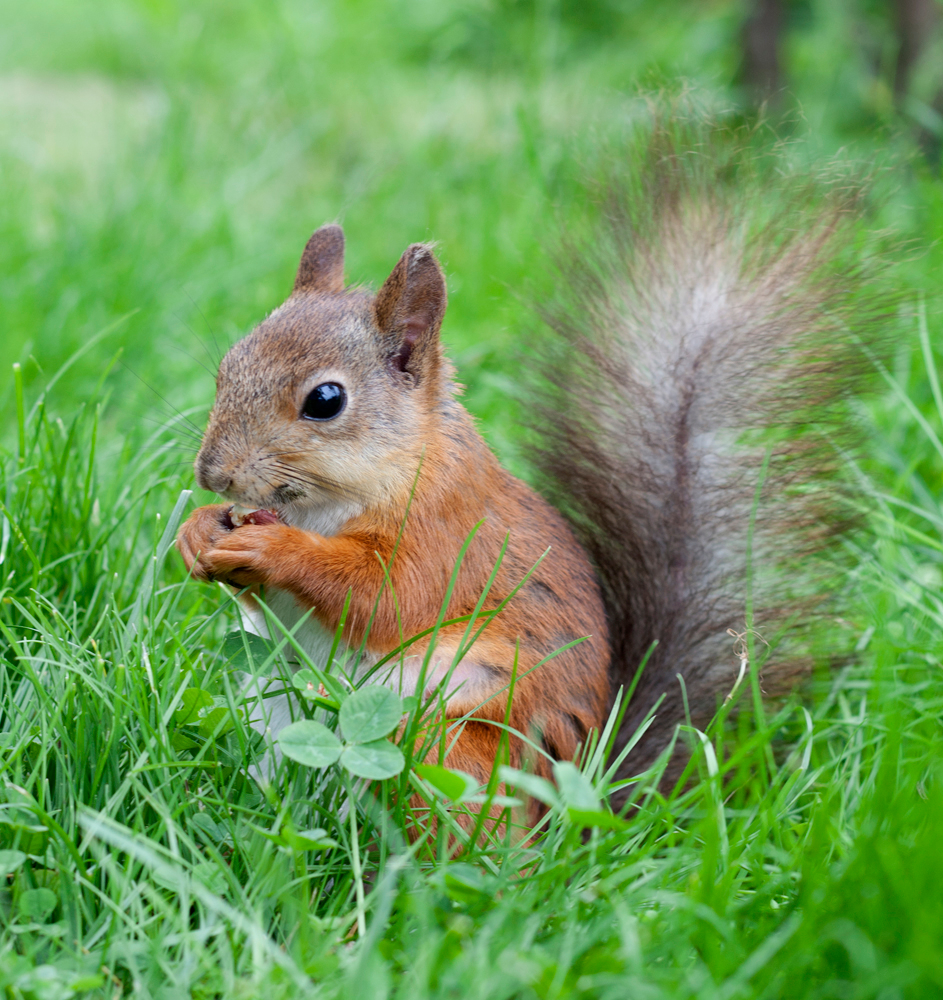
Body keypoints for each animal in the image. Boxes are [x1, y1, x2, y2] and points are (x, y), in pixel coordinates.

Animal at [177, 119, 884, 804]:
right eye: (228, 364)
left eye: (325, 400)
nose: (213, 473)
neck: (323, 503)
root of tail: (585, 806)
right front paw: (198, 531)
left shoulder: (442, 531)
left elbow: (383, 596)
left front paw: (273, 549)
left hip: (451, 749)